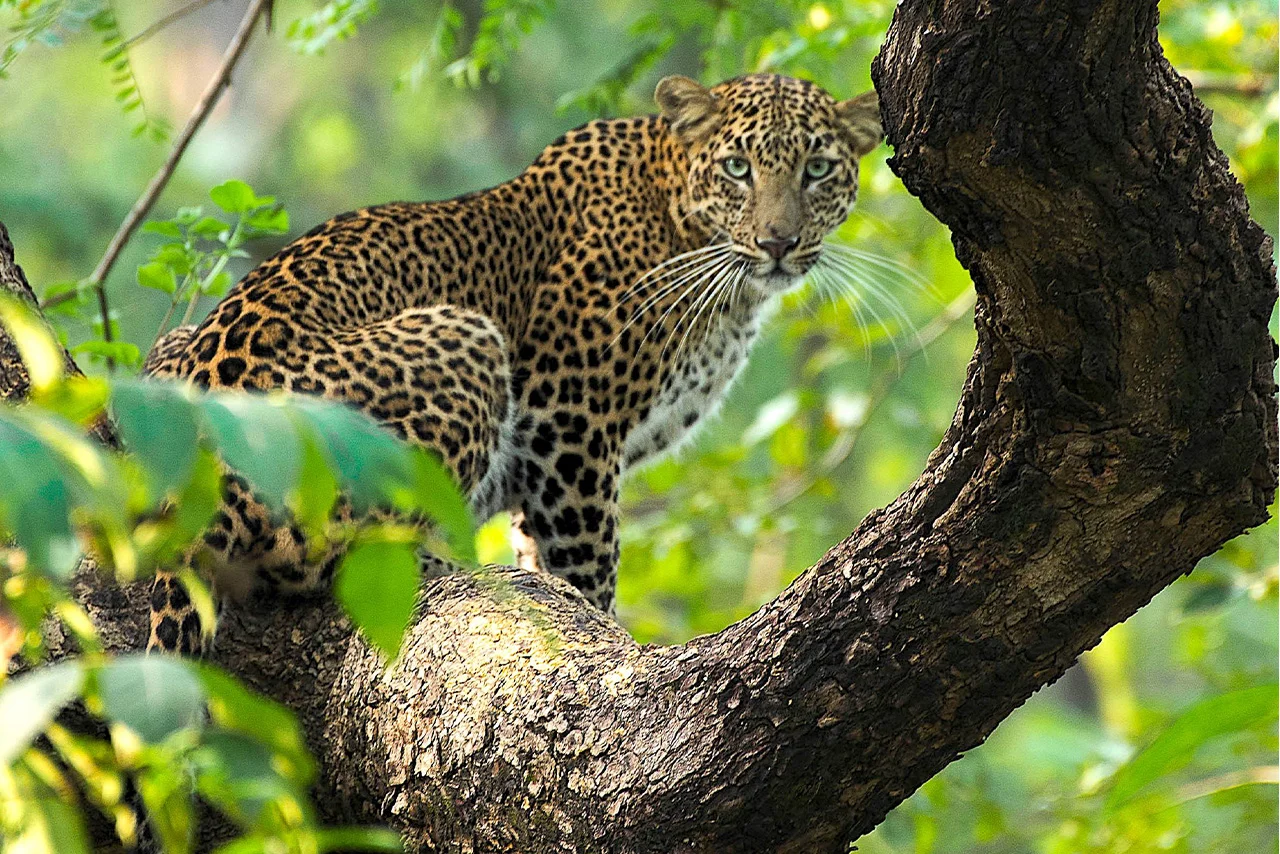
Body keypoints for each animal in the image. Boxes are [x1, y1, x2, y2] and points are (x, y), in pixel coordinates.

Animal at [141, 72, 884, 655]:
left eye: (818, 170)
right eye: (737, 168)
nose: (779, 241)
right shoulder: (571, 425)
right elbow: (587, 561)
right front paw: (604, 631)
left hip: (172, 346)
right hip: (466, 340)